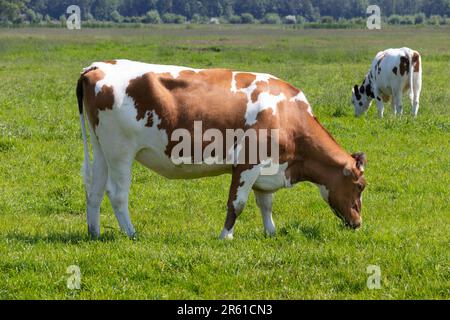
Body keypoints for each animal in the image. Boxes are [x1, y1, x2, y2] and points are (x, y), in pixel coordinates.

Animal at [77, 60, 366, 240]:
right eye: (360, 186)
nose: (358, 223)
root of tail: (96, 67)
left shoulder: (268, 167)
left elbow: (266, 203)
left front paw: (271, 232)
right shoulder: (248, 162)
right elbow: (236, 203)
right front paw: (226, 235)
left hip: (102, 151)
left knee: (95, 191)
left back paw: (94, 232)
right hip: (120, 151)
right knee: (117, 194)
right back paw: (131, 233)